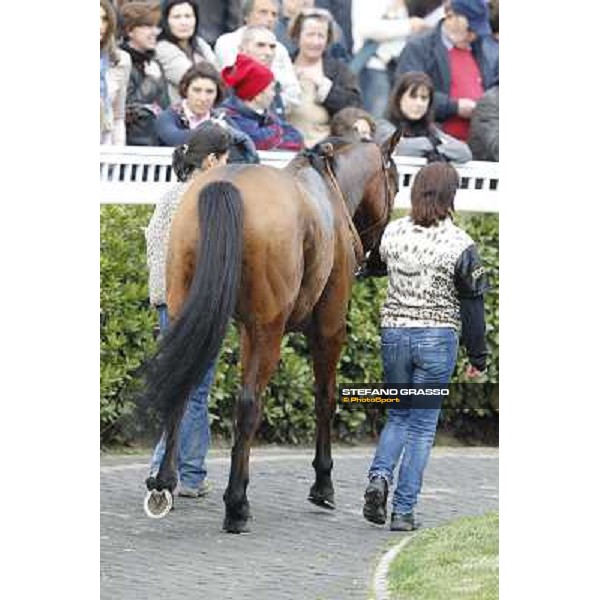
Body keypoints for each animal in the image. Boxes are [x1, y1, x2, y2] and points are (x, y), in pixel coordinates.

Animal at [143, 129, 400, 532]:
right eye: (397, 182)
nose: (378, 263)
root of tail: (226, 187)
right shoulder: (328, 329)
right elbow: (325, 397)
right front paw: (323, 484)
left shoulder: (247, 330)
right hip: (270, 330)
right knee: (249, 403)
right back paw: (236, 504)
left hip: (194, 312)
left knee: (183, 386)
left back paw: (164, 482)